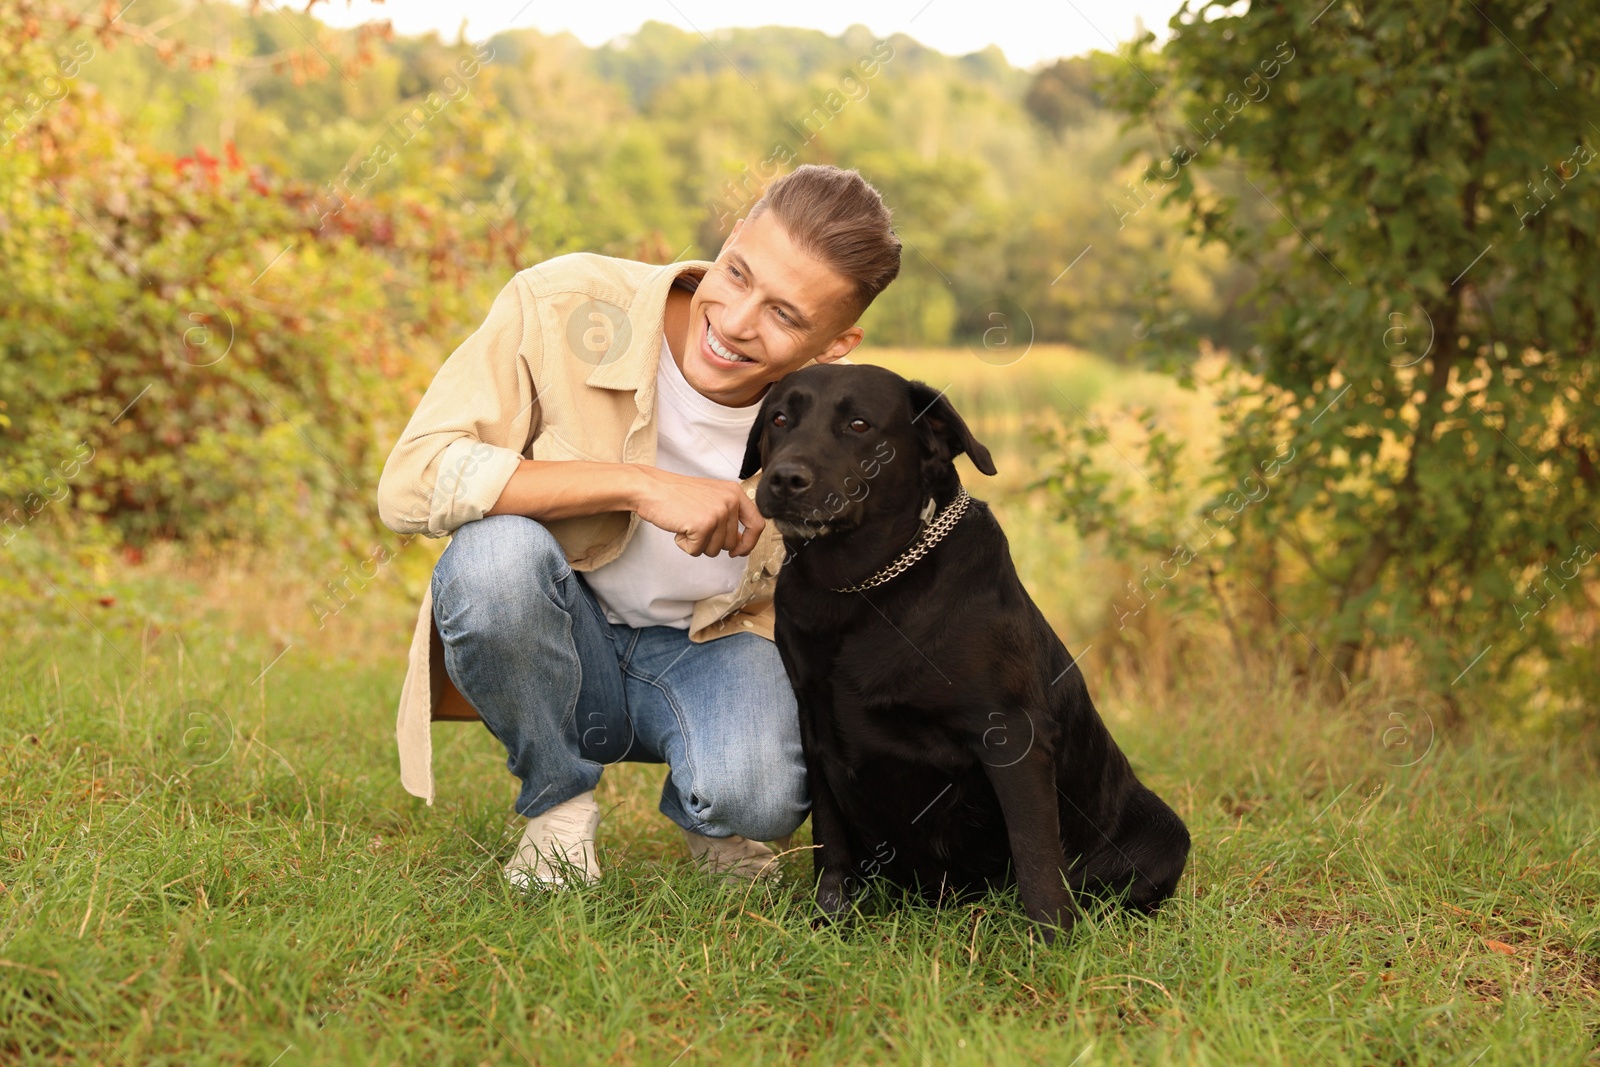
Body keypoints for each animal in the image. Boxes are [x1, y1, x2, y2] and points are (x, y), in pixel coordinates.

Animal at [739, 364, 1190, 940]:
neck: (861, 590)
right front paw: (828, 926)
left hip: (1165, 835)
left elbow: (1037, 858)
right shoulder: (815, 727)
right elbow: (831, 846)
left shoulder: (1012, 736)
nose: (784, 479)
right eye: (779, 418)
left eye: (859, 424)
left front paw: (1053, 944)